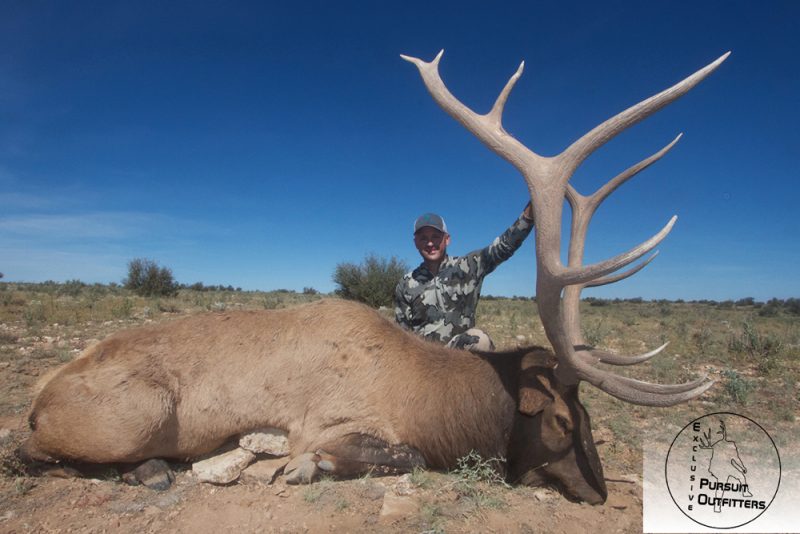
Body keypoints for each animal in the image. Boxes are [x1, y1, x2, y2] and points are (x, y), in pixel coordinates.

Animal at [21, 48, 728, 504]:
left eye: (587, 417)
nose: (602, 493)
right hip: (138, 414)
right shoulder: (325, 424)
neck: (432, 400)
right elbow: (391, 455)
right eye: (560, 420)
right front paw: (299, 470)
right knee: (29, 454)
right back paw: (150, 471)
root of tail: (37, 398)